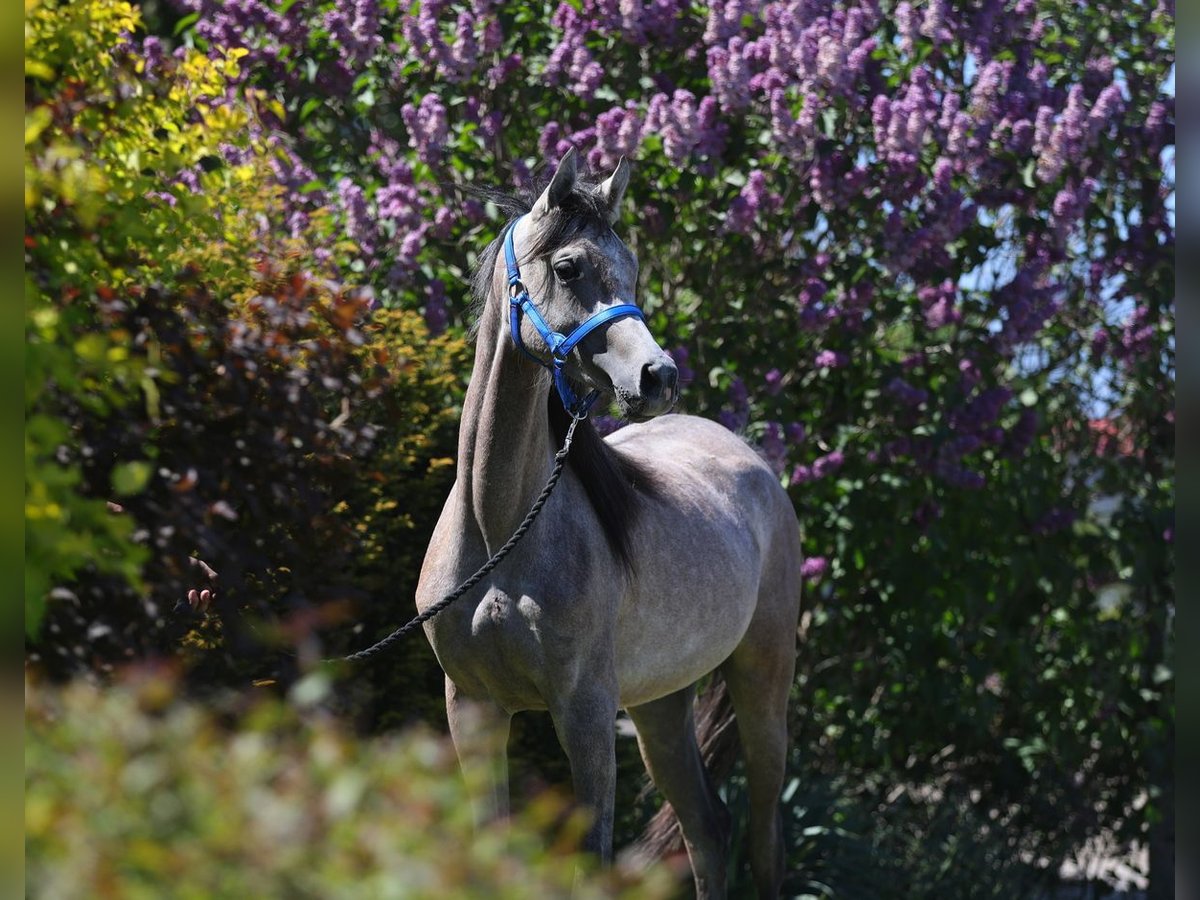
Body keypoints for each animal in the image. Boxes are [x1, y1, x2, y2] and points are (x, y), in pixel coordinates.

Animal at [417, 151, 801, 897]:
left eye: (633, 268)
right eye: (568, 267)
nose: (659, 377)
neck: (499, 533)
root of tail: (755, 466)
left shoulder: (585, 716)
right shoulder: (473, 708)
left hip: (762, 684)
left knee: (764, 839)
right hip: (659, 705)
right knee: (707, 831)